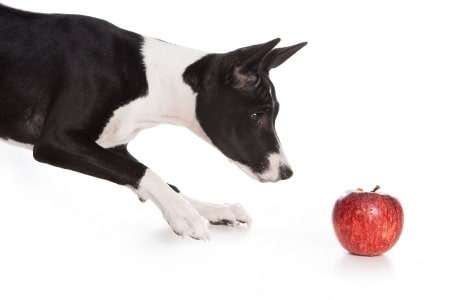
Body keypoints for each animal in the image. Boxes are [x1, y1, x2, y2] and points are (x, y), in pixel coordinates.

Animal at [0, 3, 306, 240]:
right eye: (256, 116)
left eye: (276, 114)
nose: (287, 173)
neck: (152, 79)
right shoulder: (55, 140)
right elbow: (145, 172)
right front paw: (183, 214)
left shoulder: (112, 145)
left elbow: (153, 177)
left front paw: (212, 209)